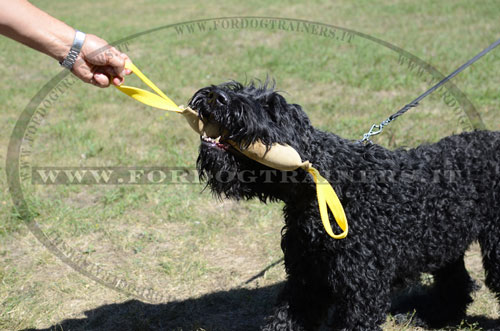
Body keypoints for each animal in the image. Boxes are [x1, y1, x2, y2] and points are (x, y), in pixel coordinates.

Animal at [188, 81, 500, 331]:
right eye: (240, 88)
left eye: (271, 107)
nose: (216, 97)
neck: (324, 184)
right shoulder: (305, 279)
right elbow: (284, 319)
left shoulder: (362, 290)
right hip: (445, 242)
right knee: (457, 284)